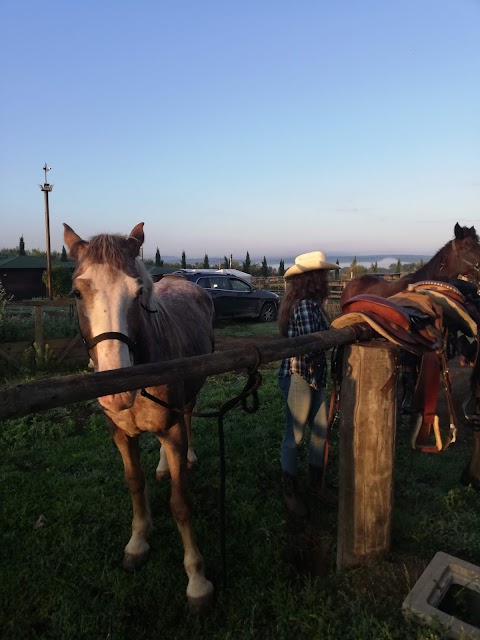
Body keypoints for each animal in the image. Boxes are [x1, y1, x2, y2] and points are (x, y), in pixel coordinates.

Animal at [63, 222, 216, 612]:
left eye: (137, 292)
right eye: (77, 292)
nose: (116, 391)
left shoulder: (173, 429)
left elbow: (180, 504)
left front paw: (197, 582)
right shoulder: (120, 435)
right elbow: (135, 484)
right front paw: (137, 542)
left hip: (189, 398)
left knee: (188, 416)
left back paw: (188, 457)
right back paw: (163, 467)